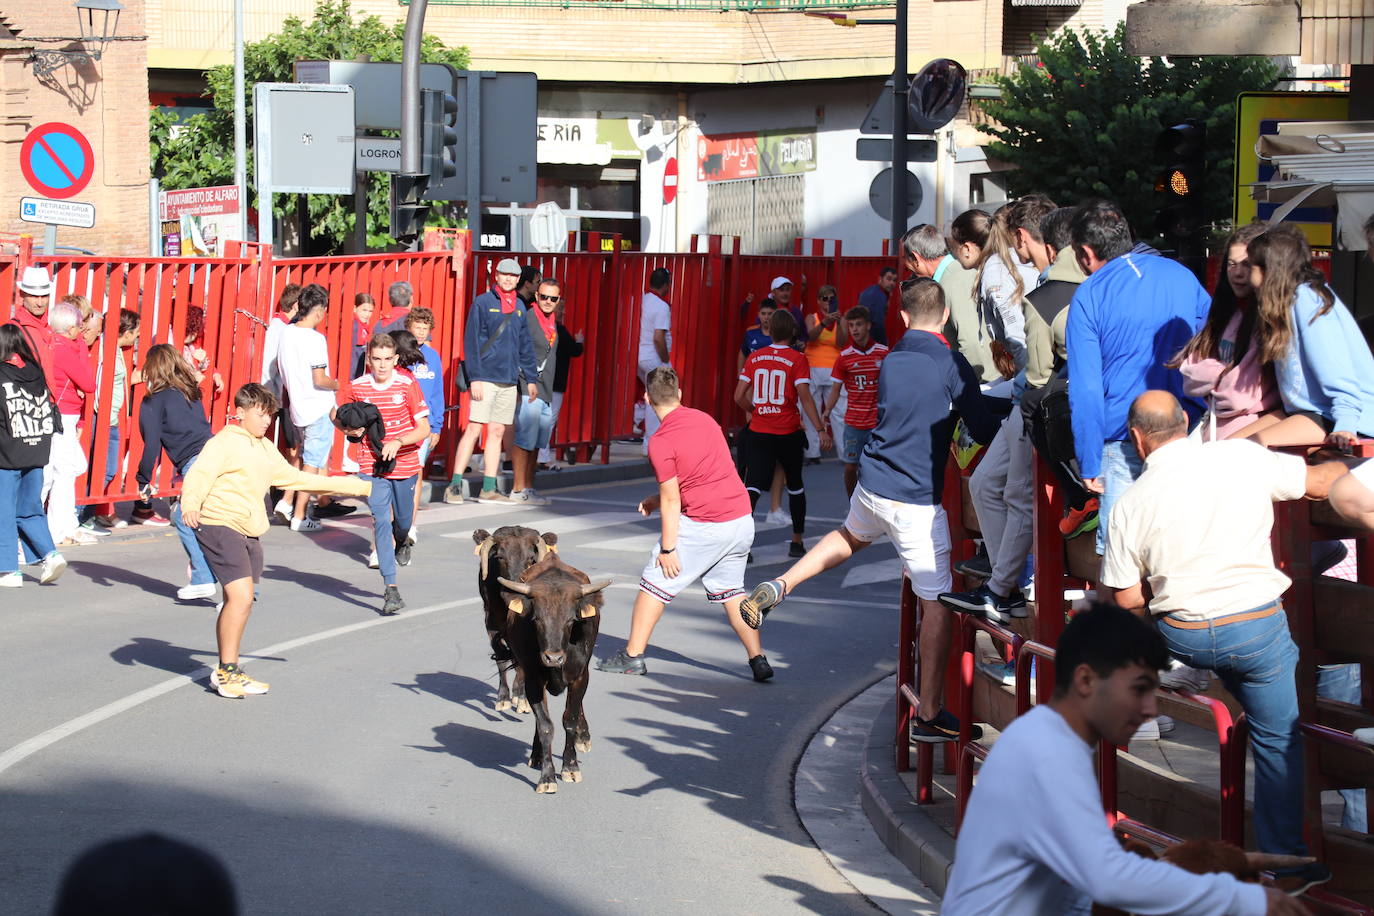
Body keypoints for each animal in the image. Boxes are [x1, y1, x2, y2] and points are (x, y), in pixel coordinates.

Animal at [497, 552, 610, 796]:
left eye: (571, 620)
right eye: (537, 619)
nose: (553, 658)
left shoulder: (580, 676)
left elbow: (570, 719)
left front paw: (570, 767)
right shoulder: (533, 679)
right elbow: (545, 724)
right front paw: (547, 777)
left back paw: (583, 738)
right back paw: (537, 754)